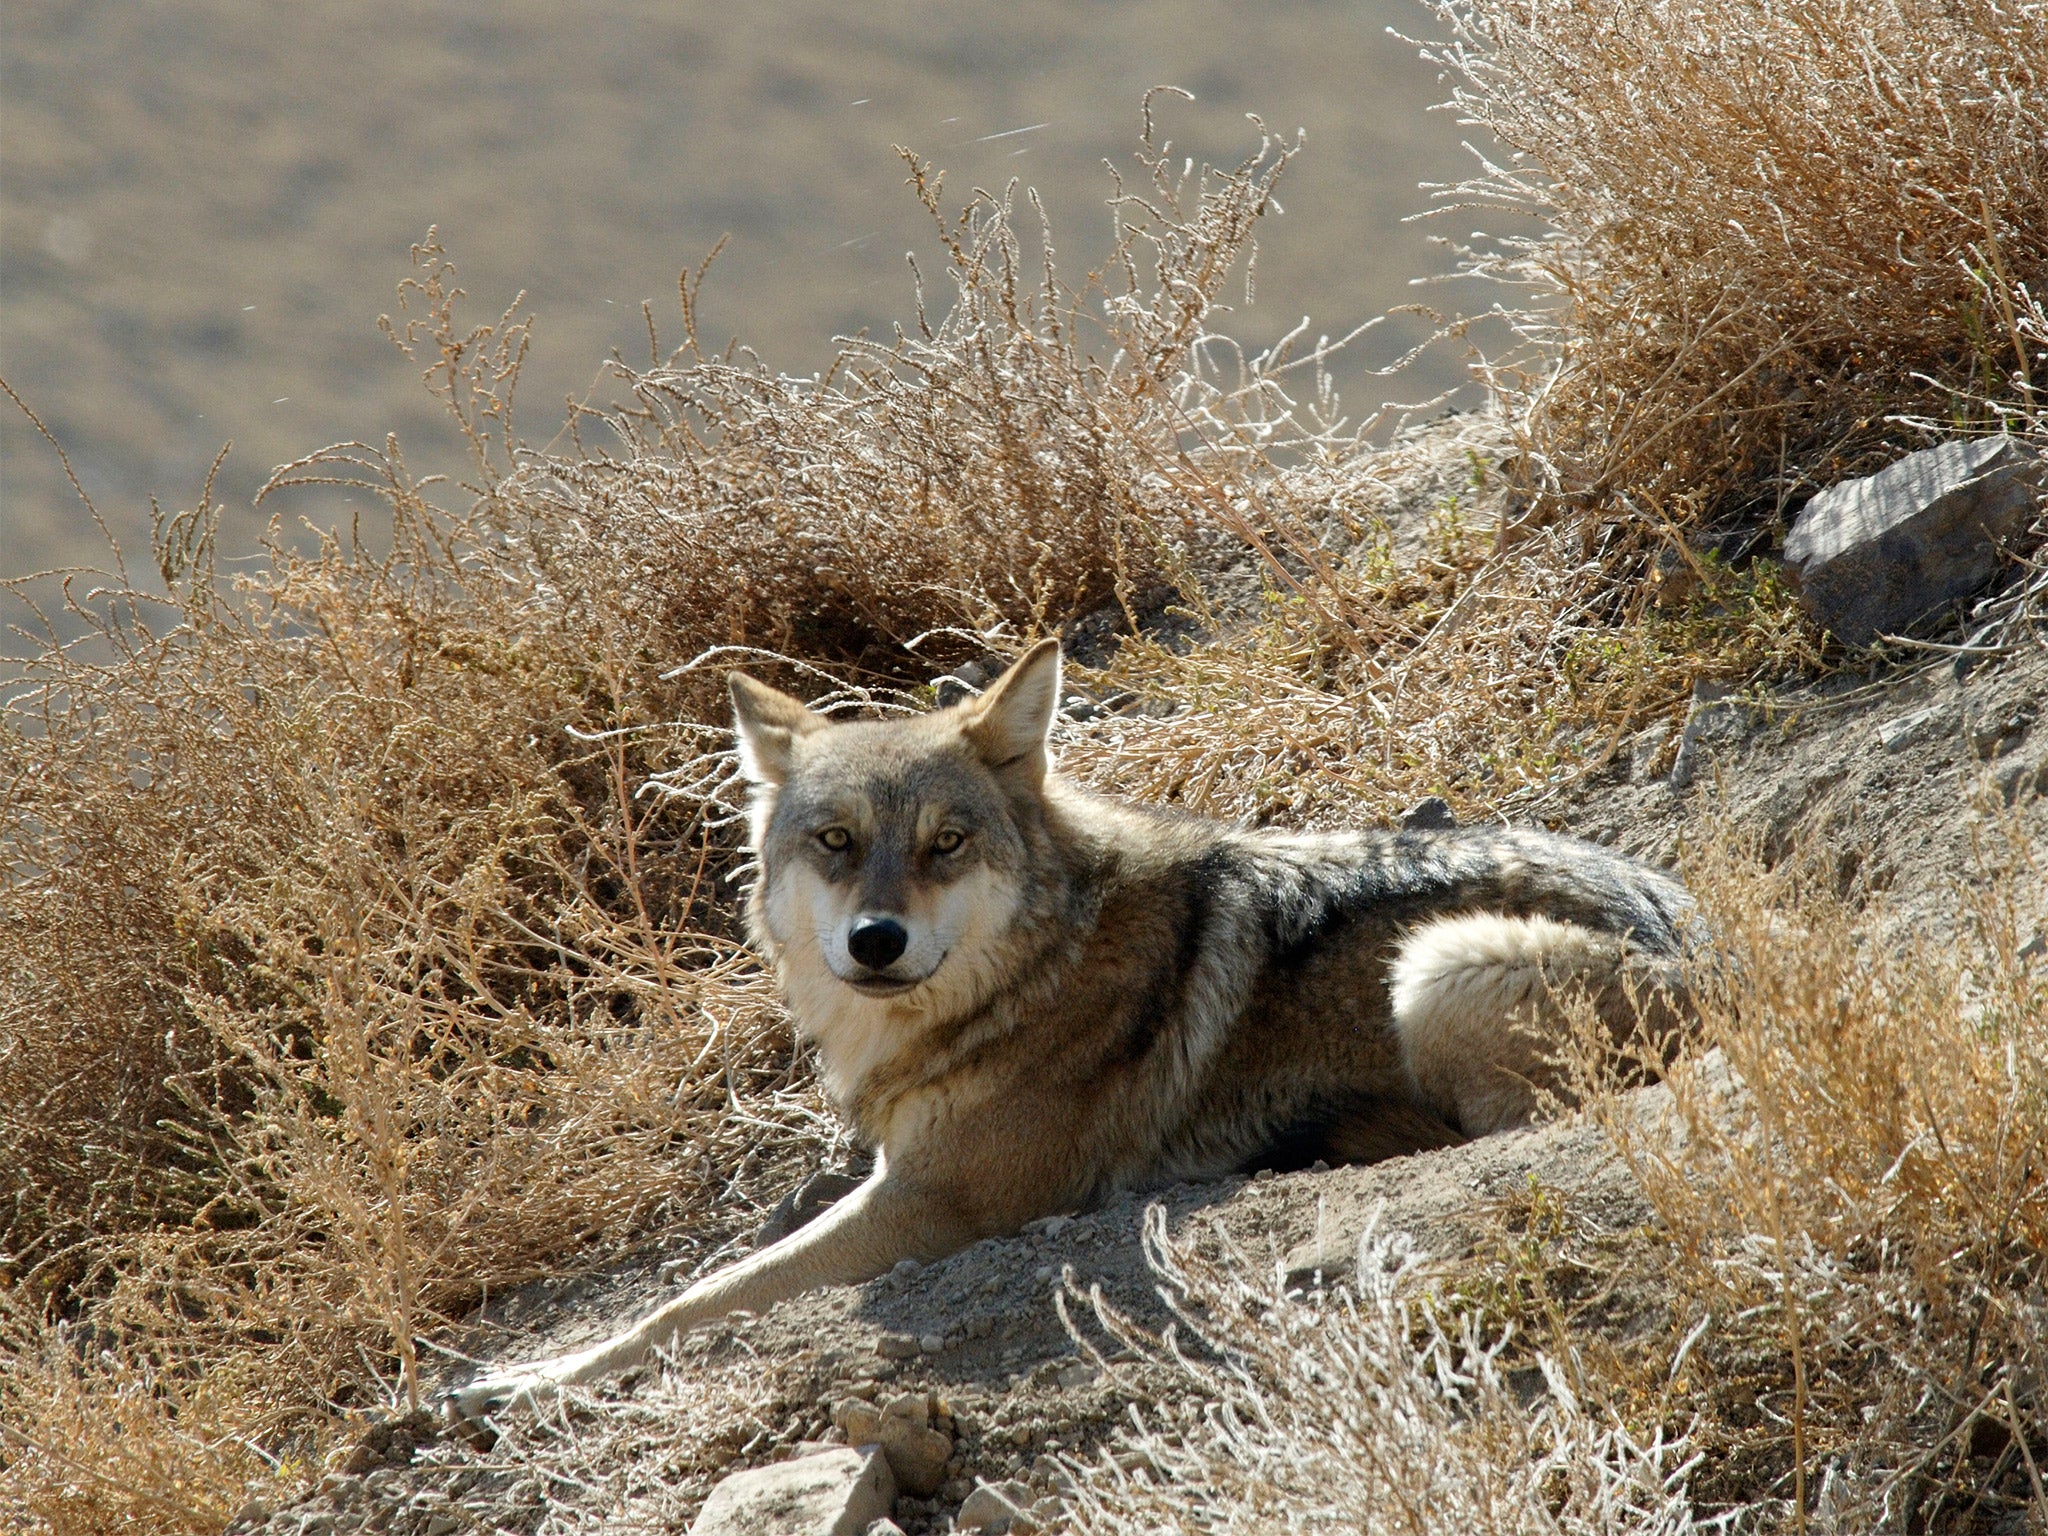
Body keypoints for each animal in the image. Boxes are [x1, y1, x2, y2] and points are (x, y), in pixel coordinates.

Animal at [452, 638, 1695, 1417]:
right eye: (837, 842)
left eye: (946, 843)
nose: (873, 943)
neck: (1023, 980)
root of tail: (1711, 933)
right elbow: (723, 1265)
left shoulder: (937, 1204)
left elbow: (694, 1296)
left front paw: (527, 1379)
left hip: (1435, 965)